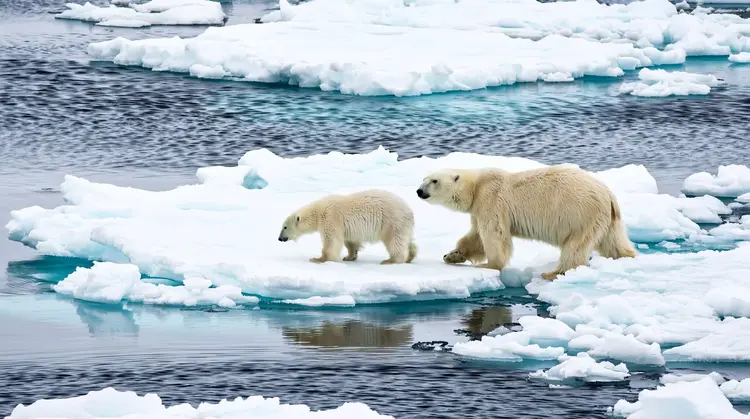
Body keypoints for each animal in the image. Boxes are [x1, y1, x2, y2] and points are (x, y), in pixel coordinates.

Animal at [278, 189, 418, 265]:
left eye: (284, 227)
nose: (279, 238)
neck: (318, 212)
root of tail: (409, 210)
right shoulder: (347, 227)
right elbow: (350, 241)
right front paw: (349, 256)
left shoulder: (330, 218)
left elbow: (331, 241)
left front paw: (318, 259)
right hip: (403, 224)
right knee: (406, 239)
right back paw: (410, 256)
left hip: (392, 220)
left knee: (394, 240)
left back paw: (391, 260)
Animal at [416, 166, 636, 280]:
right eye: (423, 178)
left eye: (434, 181)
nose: (419, 191)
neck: (476, 186)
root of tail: (608, 194)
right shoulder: (478, 209)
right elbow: (475, 236)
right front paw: (452, 255)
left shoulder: (491, 200)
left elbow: (494, 234)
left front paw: (489, 265)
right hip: (606, 219)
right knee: (613, 242)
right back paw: (628, 256)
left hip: (581, 215)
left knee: (575, 247)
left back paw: (553, 272)